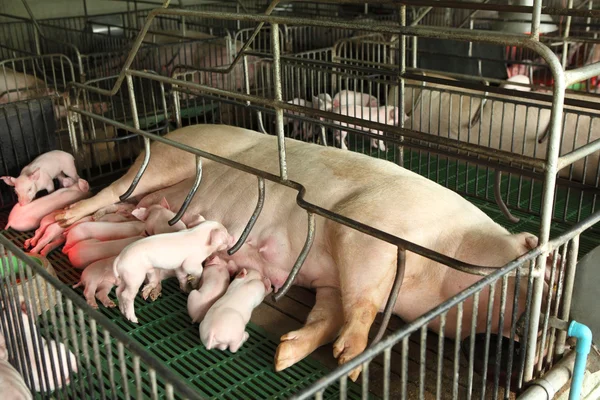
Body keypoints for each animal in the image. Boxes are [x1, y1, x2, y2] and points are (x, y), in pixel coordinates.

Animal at [56, 125, 552, 382]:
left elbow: (331, 311)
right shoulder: (368, 231)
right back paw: (59, 224)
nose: (544, 334)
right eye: (536, 278)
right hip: (164, 161)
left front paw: (287, 355)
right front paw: (350, 363)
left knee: (122, 205)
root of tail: (172, 131)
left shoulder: (331, 277)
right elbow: (363, 302)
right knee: (109, 191)